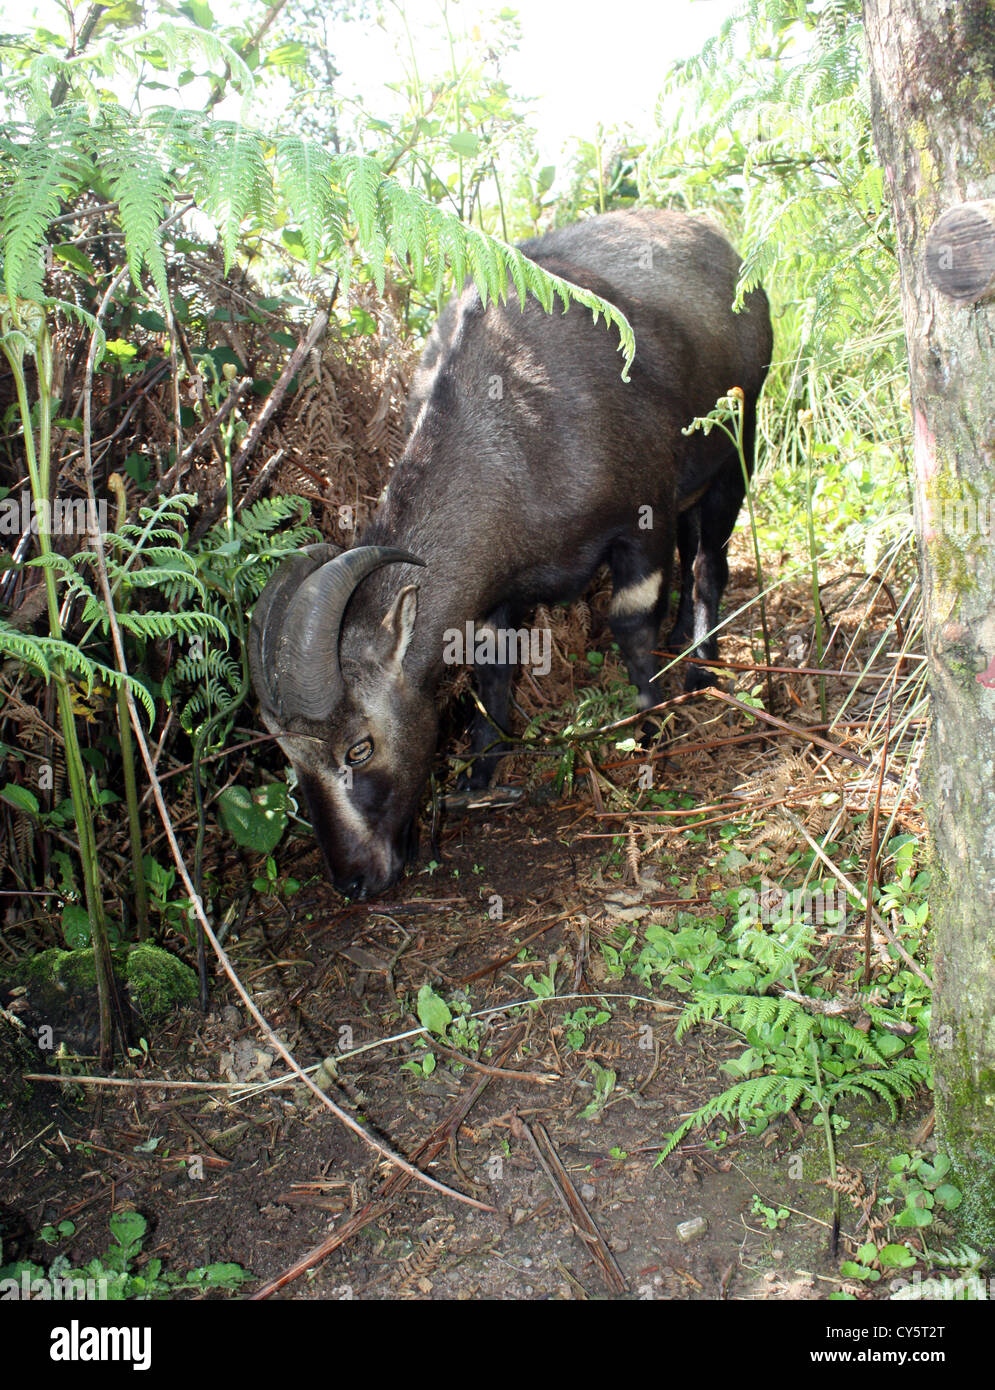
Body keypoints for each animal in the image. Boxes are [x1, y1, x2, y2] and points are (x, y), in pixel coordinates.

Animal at [249, 208, 773, 898]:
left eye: (359, 747)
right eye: (289, 758)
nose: (356, 881)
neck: (511, 435)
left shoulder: (645, 517)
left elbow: (632, 622)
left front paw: (651, 729)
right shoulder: (501, 591)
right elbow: (492, 667)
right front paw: (481, 770)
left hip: (736, 443)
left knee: (710, 561)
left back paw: (701, 664)